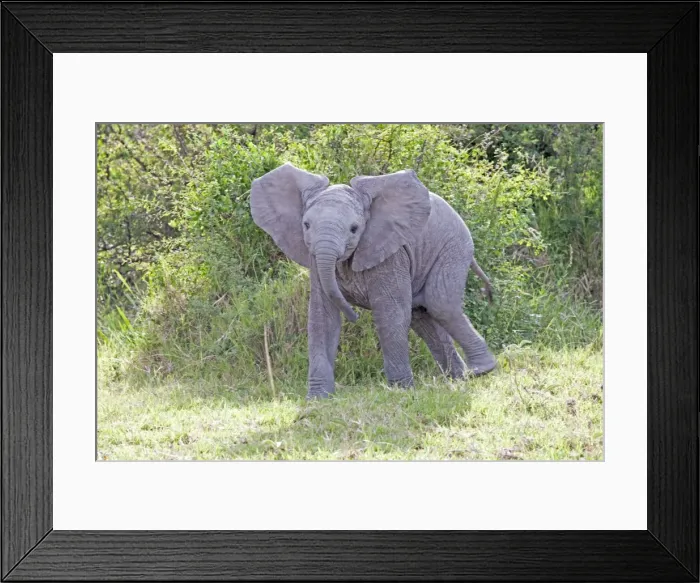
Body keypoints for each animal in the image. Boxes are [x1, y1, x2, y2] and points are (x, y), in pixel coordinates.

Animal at [250, 162, 497, 399]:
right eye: (306, 225)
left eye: (354, 229)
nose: (355, 315)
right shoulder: (314, 258)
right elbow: (322, 318)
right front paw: (317, 398)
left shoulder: (390, 251)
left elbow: (390, 314)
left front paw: (401, 391)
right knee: (422, 317)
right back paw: (458, 378)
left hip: (454, 246)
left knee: (441, 304)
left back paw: (482, 370)